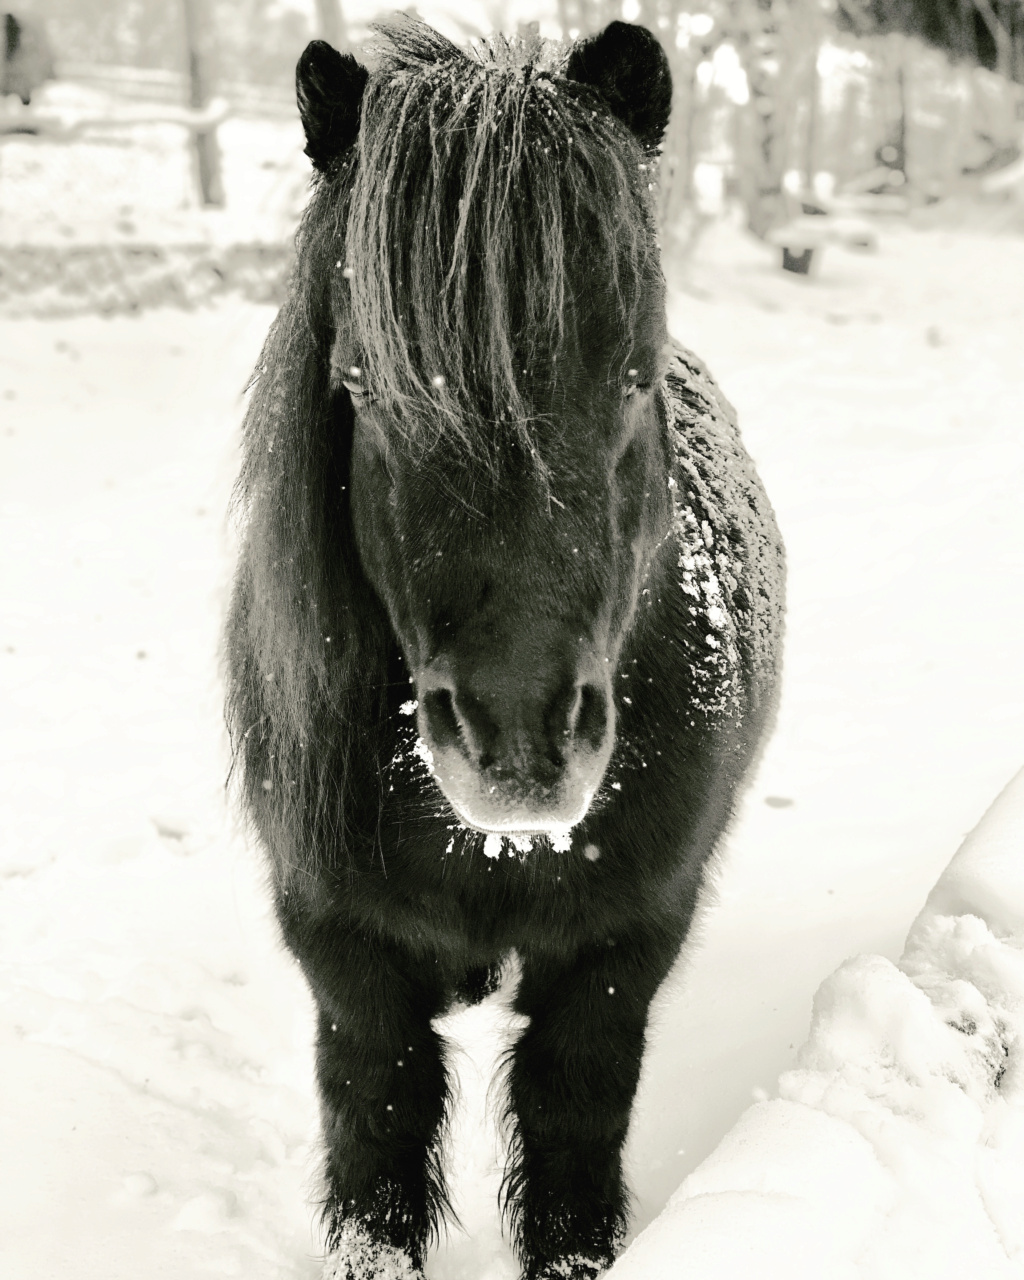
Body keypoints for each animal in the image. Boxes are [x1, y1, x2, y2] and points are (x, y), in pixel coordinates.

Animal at [224, 17, 783, 1280]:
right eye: (365, 385)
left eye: (632, 372)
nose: (518, 740)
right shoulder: (350, 962)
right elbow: (376, 1155)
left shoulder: (616, 955)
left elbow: (572, 1163)